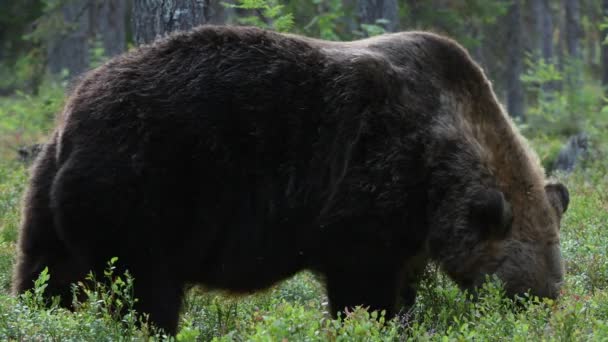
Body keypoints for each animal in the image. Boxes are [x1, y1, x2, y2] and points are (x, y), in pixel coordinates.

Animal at [10, 26, 568, 334]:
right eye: (525, 293)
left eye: (552, 288)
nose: (541, 314)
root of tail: (72, 117)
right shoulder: (369, 186)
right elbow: (363, 286)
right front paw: (371, 323)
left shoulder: (410, 226)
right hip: (145, 187)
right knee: (146, 289)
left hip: (52, 193)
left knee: (48, 273)